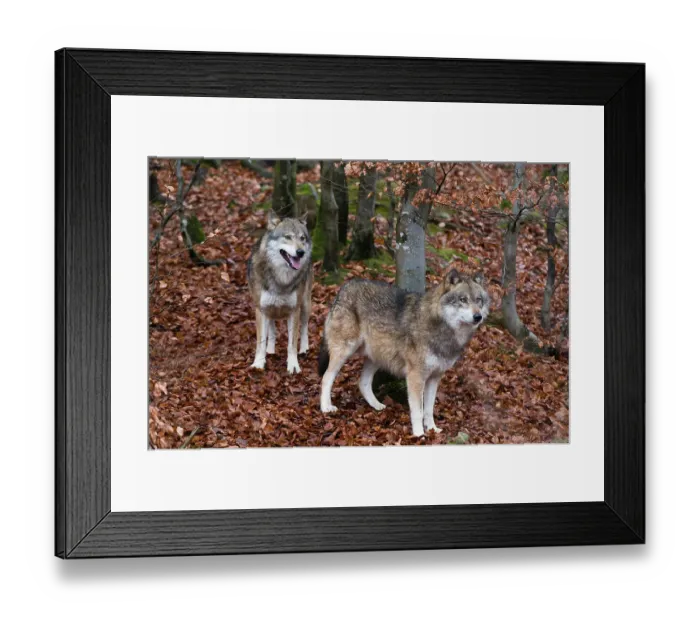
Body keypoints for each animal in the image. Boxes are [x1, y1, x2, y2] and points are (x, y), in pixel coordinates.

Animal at [247, 212, 313, 374]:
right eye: (288, 237)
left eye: (302, 238)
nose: (301, 252)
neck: (281, 279)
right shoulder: (261, 309)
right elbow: (261, 341)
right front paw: (258, 363)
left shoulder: (294, 311)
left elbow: (292, 343)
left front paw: (293, 365)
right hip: (270, 310)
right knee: (272, 330)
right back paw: (270, 351)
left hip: (305, 305)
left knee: (304, 327)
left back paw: (304, 349)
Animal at [318, 269, 490, 436]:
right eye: (463, 299)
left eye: (478, 300)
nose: (478, 316)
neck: (443, 330)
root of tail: (345, 286)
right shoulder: (416, 376)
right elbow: (418, 411)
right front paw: (419, 434)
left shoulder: (435, 377)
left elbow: (429, 410)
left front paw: (433, 430)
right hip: (345, 351)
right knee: (326, 377)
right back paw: (326, 407)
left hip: (377, 357)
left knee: (363, 383)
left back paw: (377, 406)